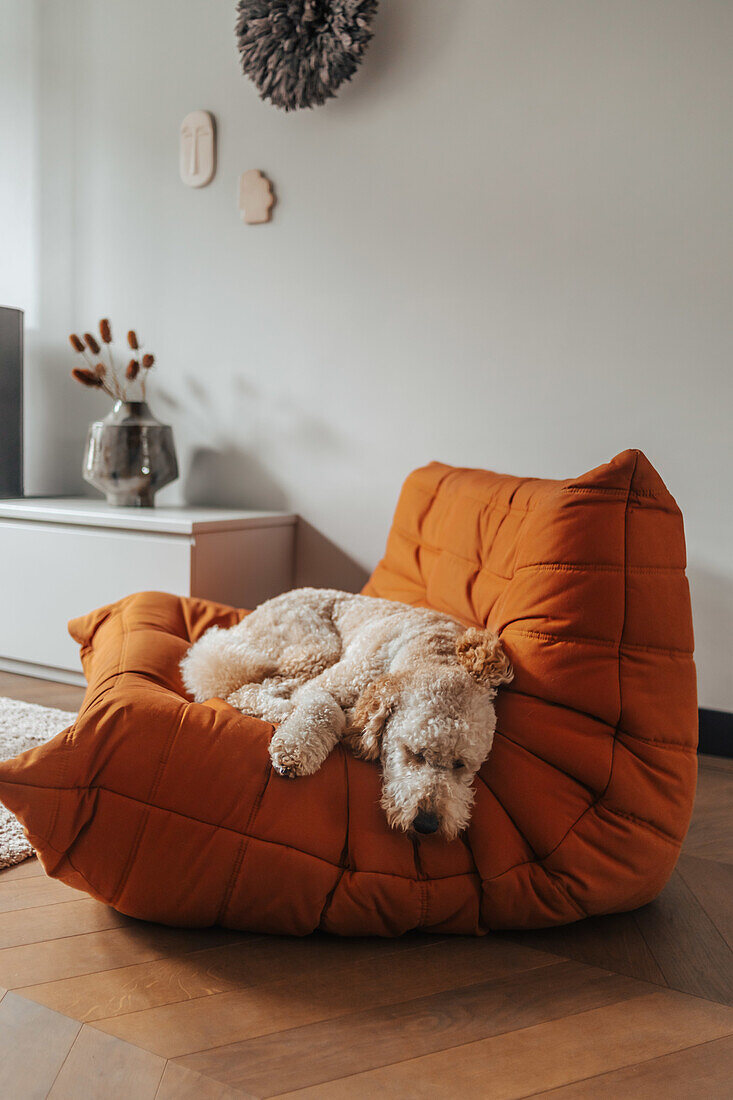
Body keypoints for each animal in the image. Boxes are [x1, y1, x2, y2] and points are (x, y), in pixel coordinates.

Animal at [179, 589, 510, 836]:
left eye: (460, 765)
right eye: (414, 754)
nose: (426, 824)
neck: (431, 650)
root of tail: (256, 612)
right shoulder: (327, 684)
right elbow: (326, 711)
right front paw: (294, 752)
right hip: (315, 647)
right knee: (244, 689)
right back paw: (282, 710)